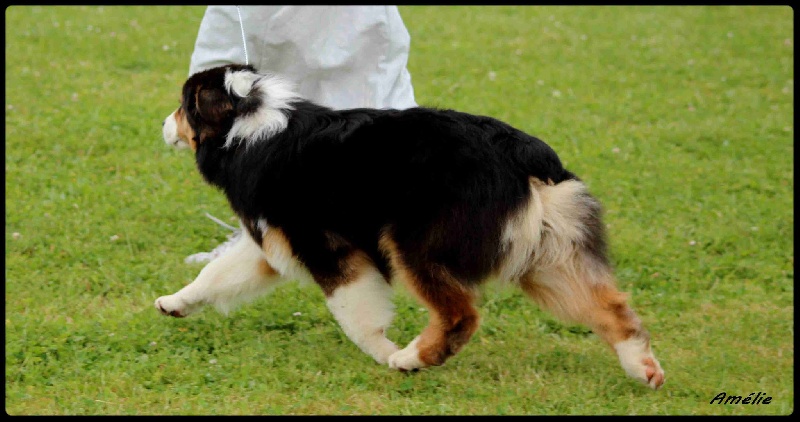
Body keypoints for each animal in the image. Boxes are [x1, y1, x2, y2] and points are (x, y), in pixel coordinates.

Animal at [155, 63, 664, 390]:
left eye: (181, 106)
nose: (162, 124)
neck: (244, 125)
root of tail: (522, 153)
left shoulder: (325, 246)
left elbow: (357, 315)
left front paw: (384, 352)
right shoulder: (272, 243)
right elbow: (217, 275)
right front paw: (173, 303)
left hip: (415, 241)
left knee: (460, 314)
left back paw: (411, 359)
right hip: (548, 256)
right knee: (609, 305)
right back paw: (644, 368)